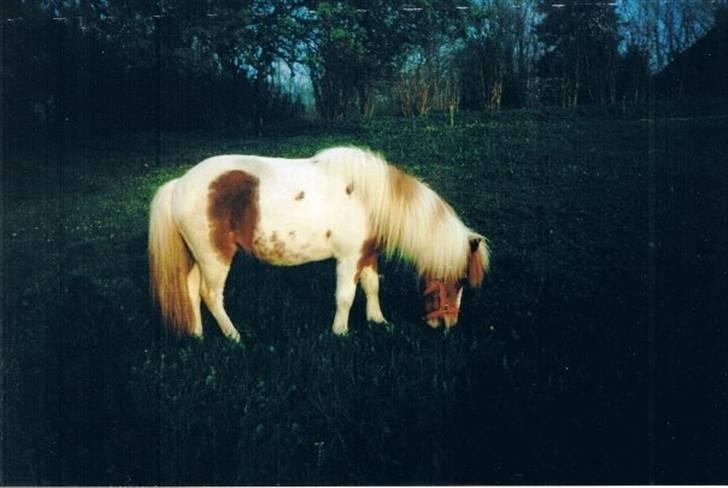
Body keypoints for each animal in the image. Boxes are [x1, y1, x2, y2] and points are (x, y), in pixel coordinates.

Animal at [148, 146, 490, 342]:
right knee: (210, 295)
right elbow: (345, 297)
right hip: (215, 257)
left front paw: (378, 321)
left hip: (199, 257)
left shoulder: (366, 255)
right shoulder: (349, 259)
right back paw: (234, 336)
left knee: (191, 290)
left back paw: (197, 335)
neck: (371, 198)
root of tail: (178, 184)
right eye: (460, 280)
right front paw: (340, 333)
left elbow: (372, 287)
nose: (446, 324)